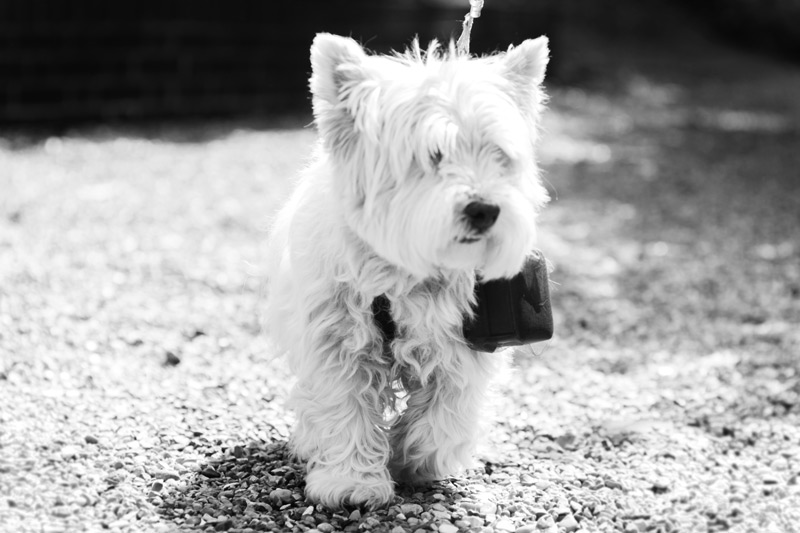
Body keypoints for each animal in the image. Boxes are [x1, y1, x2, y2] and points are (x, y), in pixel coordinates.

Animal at [262, 33, 552, 508]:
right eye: (432, 155)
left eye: (498, 154)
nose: (485, 210)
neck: (407, 270)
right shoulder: (336, 340)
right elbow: (344, 408)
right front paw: (352, 482)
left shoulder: (464, 345)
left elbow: (445, 415)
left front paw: (413, 462)